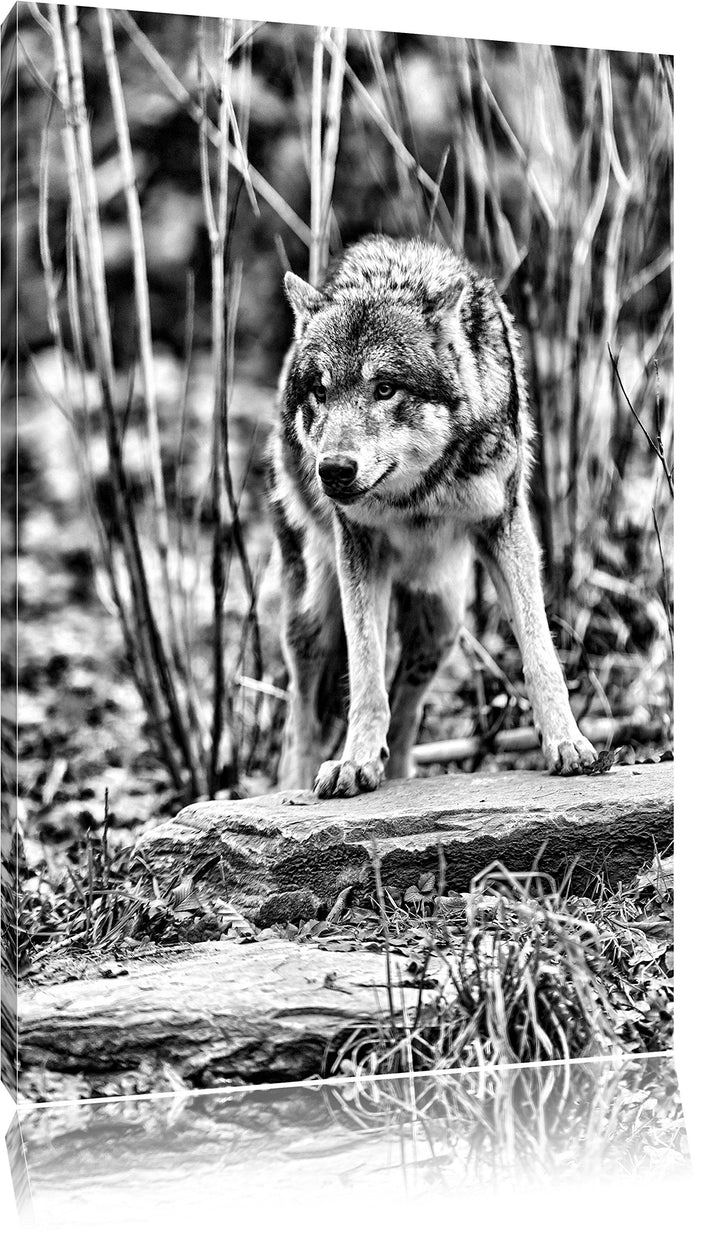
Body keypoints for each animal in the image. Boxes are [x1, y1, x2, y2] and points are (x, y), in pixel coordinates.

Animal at [266, 235, 596, 798]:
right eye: (321, 392)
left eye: (385, 389)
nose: (333, 470)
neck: (419, 496)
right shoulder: (358, 546)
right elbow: (366, 673)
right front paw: (353, 762)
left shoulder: (504, 527)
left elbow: (540, 652)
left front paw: (566, 743)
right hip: (312, 615)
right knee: (301, 721)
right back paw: (297, 787)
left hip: (441, 623)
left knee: (406, 716)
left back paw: (397, 775)